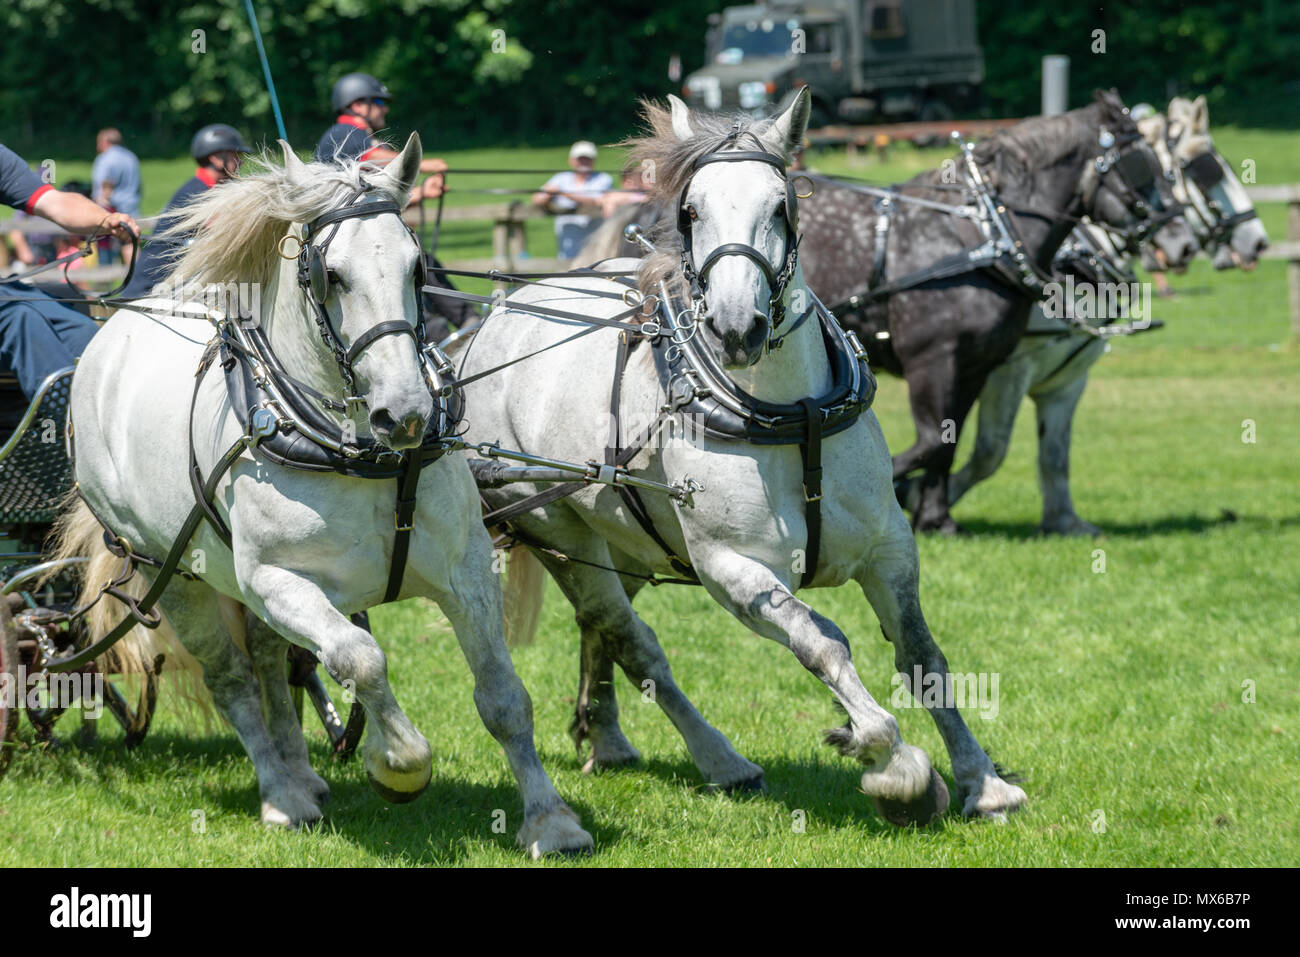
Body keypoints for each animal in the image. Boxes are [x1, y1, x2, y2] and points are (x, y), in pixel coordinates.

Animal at [54, 136, 593, 856]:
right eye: (332, 275)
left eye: (418, 267)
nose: (406, 413)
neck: (360, 453)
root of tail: (111, 333)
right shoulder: (282, 583)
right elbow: (361, 660)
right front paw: (397, 763)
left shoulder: (467, 573)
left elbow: (504, 698)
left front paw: (550, 820)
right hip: (171, 573)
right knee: (233, 679)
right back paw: (280, 794)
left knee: (267, 660)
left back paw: (299, 773)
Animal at [454, 89, 1027, 826]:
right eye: (690, 211)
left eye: (780, 205)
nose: (735, 327)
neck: (793, 413)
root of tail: (497, 315)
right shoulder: (734, 570)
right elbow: (823, 643)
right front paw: (894, 764)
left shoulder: (890, 548)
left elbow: (922, 655)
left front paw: (983, 780)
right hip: (557, 531)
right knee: (630, 637)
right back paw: (720, 759)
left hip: (623, 541)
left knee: (601, 630)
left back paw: (606, 735)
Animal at [796, 90, 1197, 533]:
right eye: (1142, 165)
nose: (1184, 242)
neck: (982, 237)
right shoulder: (933, 362)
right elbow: (929, 441)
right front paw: (899, 491)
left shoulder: (975, 367)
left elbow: (947, 442)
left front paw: (936, 517)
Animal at [942, 95, 1269, 534]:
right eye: (1199, 167)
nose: (1259, 241)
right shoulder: (1006, 370)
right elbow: (988, 452)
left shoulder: (1068, 378)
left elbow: (1055, 453)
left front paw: (1063, 520)